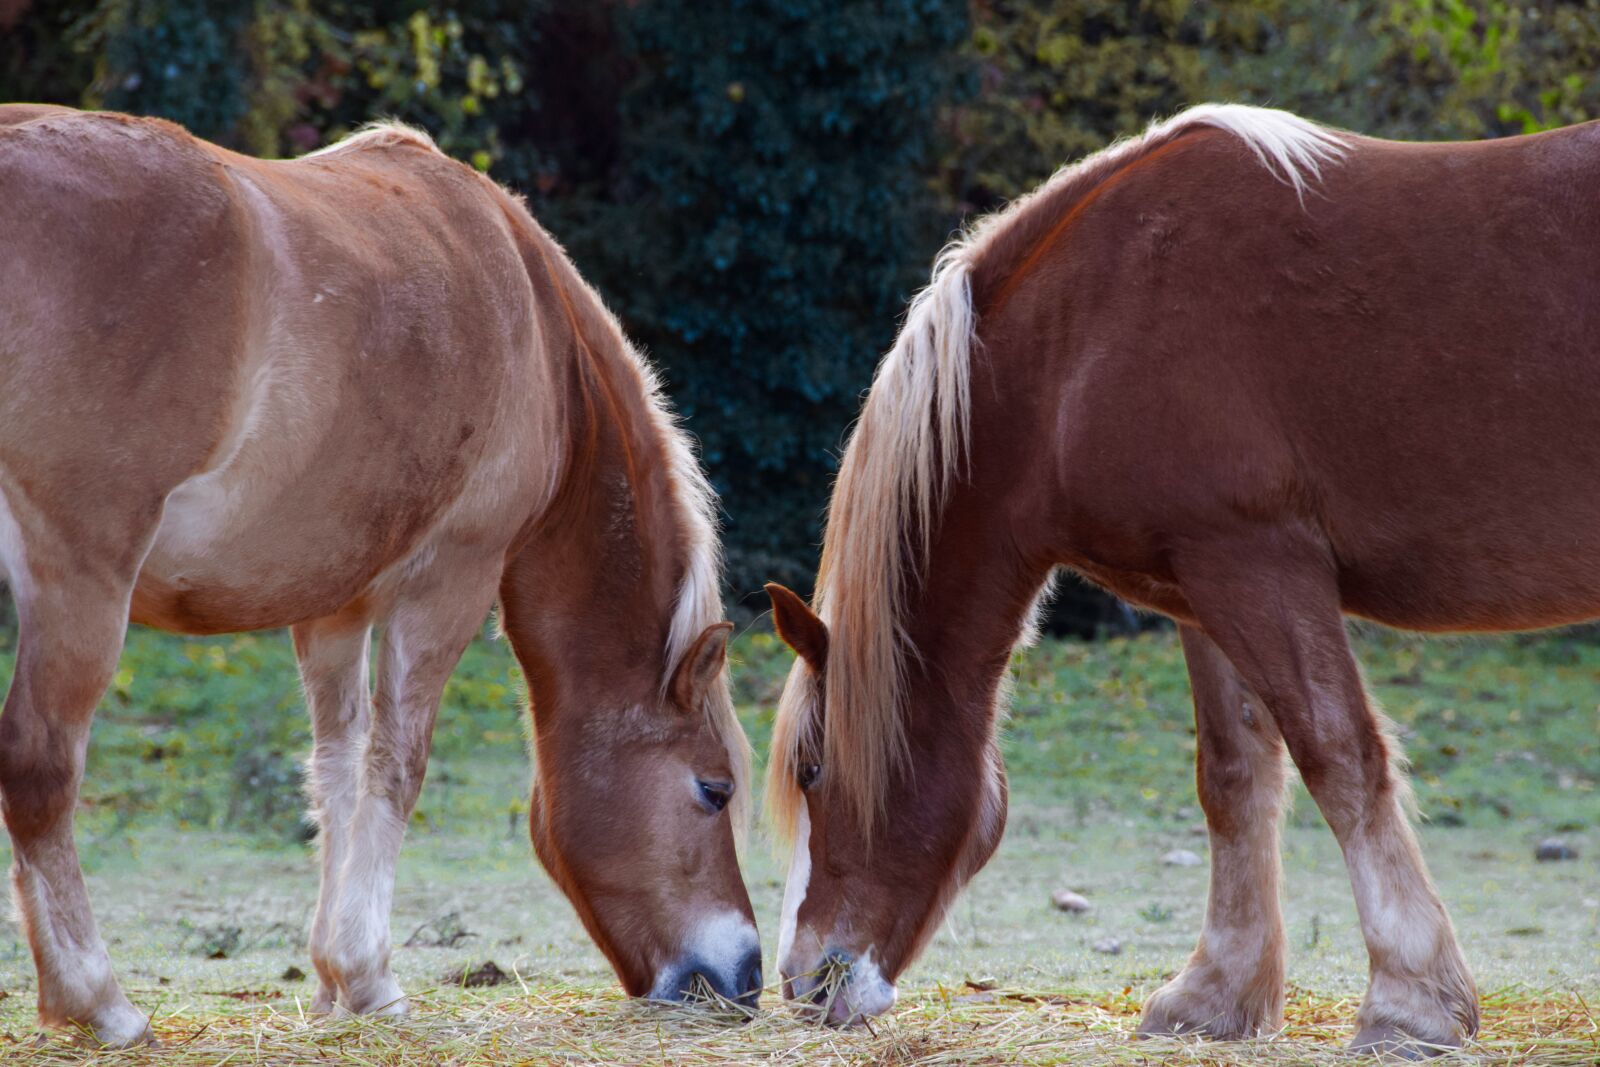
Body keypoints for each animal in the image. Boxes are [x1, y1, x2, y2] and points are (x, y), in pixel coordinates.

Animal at [0, 105, 761, 1046]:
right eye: (714, 789)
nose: (747, 976)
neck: (540, 336)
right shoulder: (448, 583)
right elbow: (399, 764)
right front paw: (371, 977)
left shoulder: (330, 605)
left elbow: (335, 767)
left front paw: (332, 982)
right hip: (81, 581)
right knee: (40, 767)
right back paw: (97, 998)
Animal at [764, 103, 1600, 1051]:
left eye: (814, 771)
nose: (803, 982)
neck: (1084, 336)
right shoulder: (1203, 587)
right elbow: (1234, 776)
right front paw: (1217, 994)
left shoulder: (1258, 563)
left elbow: (1339, 755)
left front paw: (1411, 1000)